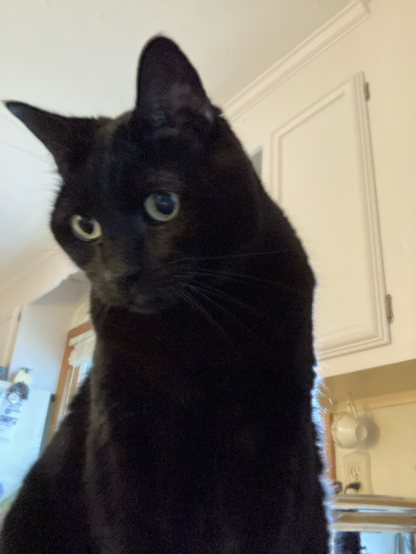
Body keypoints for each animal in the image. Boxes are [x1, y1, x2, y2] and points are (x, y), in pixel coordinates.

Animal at [1, 36, 330, 548]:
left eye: (163, 204)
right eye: (84, 226)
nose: (120, 274)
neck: (194, 331)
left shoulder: (277, 433)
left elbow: (270, 530)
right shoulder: (121, 436)